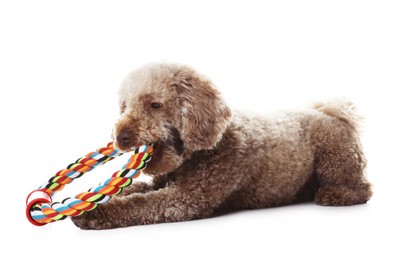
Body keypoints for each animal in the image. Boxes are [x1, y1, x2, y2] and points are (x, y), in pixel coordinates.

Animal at [71, 62, 372, 230]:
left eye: (155, 105)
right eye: (125, 106)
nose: (120, 137)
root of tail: (333, 113)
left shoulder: (184, 200)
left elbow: (139, 204)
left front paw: (95, 212)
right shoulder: (162, 182)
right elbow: (133, 190)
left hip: (336, 159)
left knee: (361, 188)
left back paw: (336, 194)